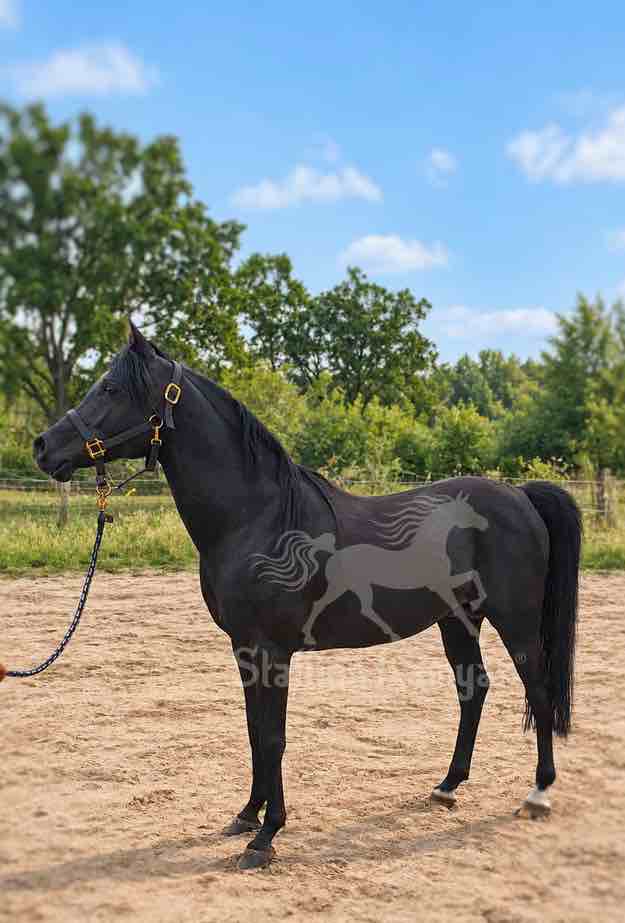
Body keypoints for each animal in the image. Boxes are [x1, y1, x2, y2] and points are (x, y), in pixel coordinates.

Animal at [34, 323, 582, 870]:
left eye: (110, 388)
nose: (42, 447)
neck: (260, 519)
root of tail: (519, 495)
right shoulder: (244, 648)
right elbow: (254, 730)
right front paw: (246, 815)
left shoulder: (273, 651)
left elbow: (273, 736)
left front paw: (266, 836)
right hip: (457, 620)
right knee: (473, 688)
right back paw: (447, 786)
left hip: (515, 622)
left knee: (537, 690)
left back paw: (537, 793)